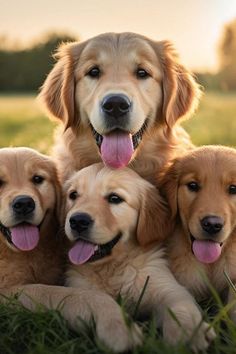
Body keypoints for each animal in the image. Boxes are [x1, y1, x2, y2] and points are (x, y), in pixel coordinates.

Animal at [62, 163, 216, 352]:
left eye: (114, 198)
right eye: (73, 195)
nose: (77, 221)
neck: (112, 268)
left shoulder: (165, 285)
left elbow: (181, 307)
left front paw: (189, 333)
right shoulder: (78, 287)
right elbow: (96, 300)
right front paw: (118, 330)